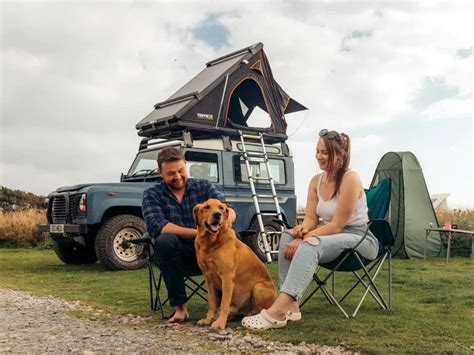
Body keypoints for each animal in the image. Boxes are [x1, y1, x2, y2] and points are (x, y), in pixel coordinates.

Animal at [193, 199, 278, 330]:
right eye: (206, 207)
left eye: (221, 208)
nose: (217, 215)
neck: (210, 243)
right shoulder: (208, 279)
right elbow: (212, 303)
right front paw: (208, 319)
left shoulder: (227, 278)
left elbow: (224, 303)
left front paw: (220, 323)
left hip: (258, 287)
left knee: (261, 310)